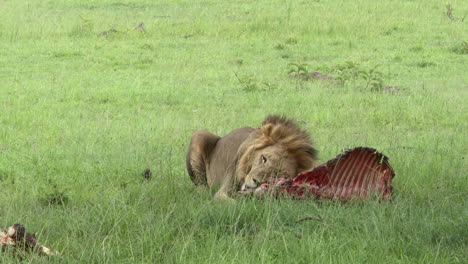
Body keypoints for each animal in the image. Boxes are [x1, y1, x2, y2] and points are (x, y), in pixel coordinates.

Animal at [186, 115, 318, 200]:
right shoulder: (222, 191)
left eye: (277, 174)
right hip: (199, 134)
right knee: (200, 184)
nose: (257, 181)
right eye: (264, 158)